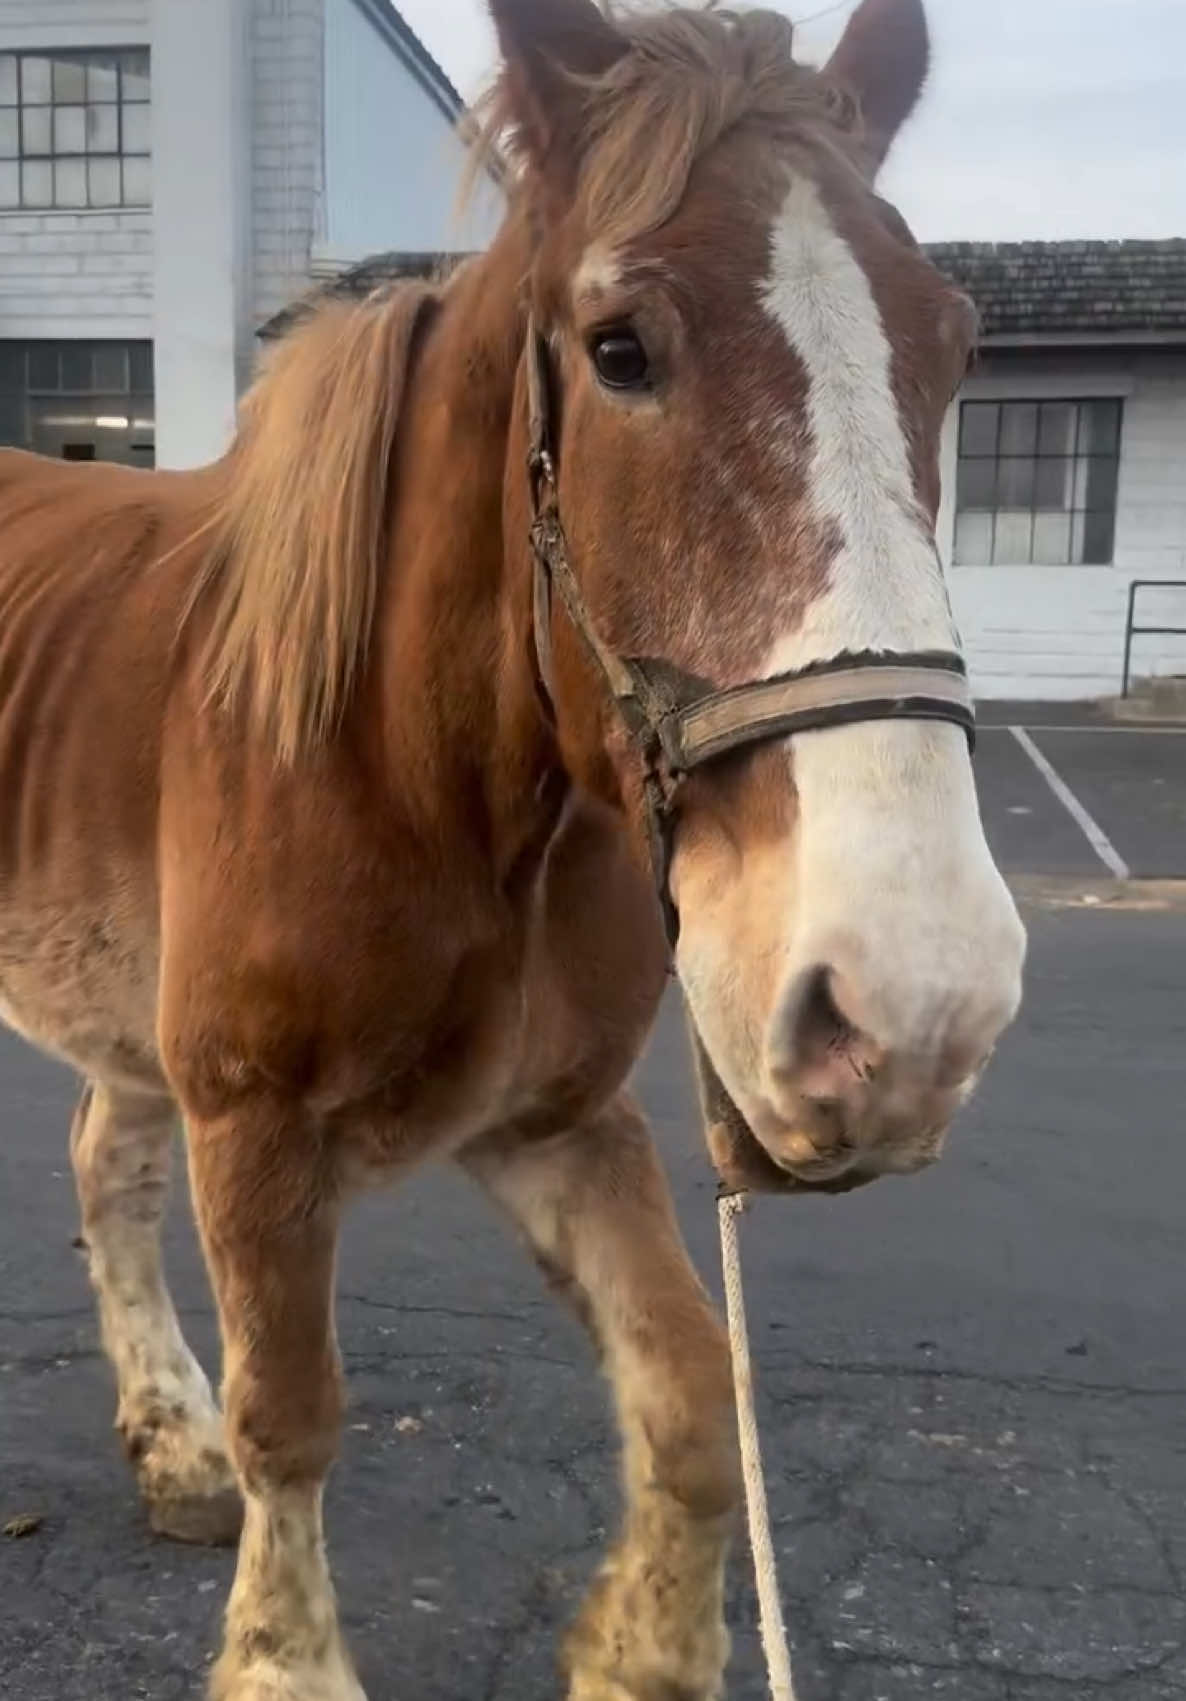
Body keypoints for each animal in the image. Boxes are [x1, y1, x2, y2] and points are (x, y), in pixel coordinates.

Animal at [0, 0, 1020, 1694]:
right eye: (619, 350)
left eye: (949, 348)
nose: (915, 1007)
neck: (425, 778)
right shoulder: (254, 1126)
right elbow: (294, 1418)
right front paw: (283, 1657)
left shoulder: (556, 1122)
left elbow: (691, 1389)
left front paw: (640, 1650)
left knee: (103, 1158)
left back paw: (169, 1441)